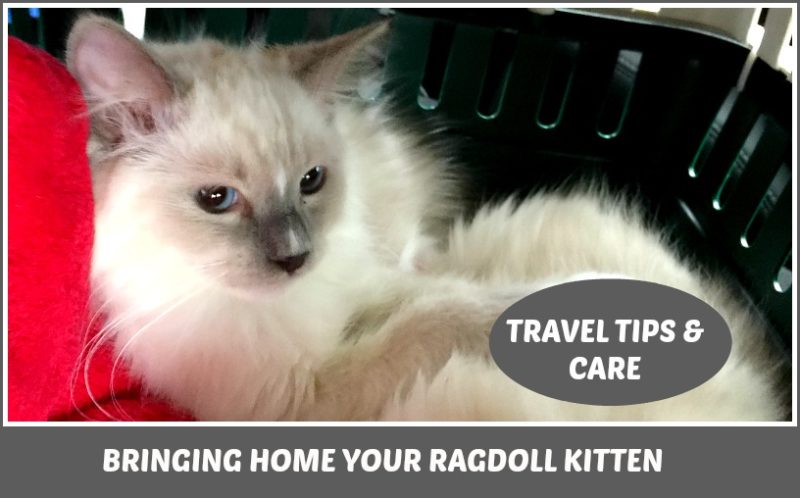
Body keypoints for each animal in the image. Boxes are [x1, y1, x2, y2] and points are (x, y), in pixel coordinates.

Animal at [65, 14, 784, 420]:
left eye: (311, 182)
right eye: (217, 200)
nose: (297, 257)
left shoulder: (368, 286)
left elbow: (445, 301)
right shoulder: (304, 402)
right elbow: (430, 324)